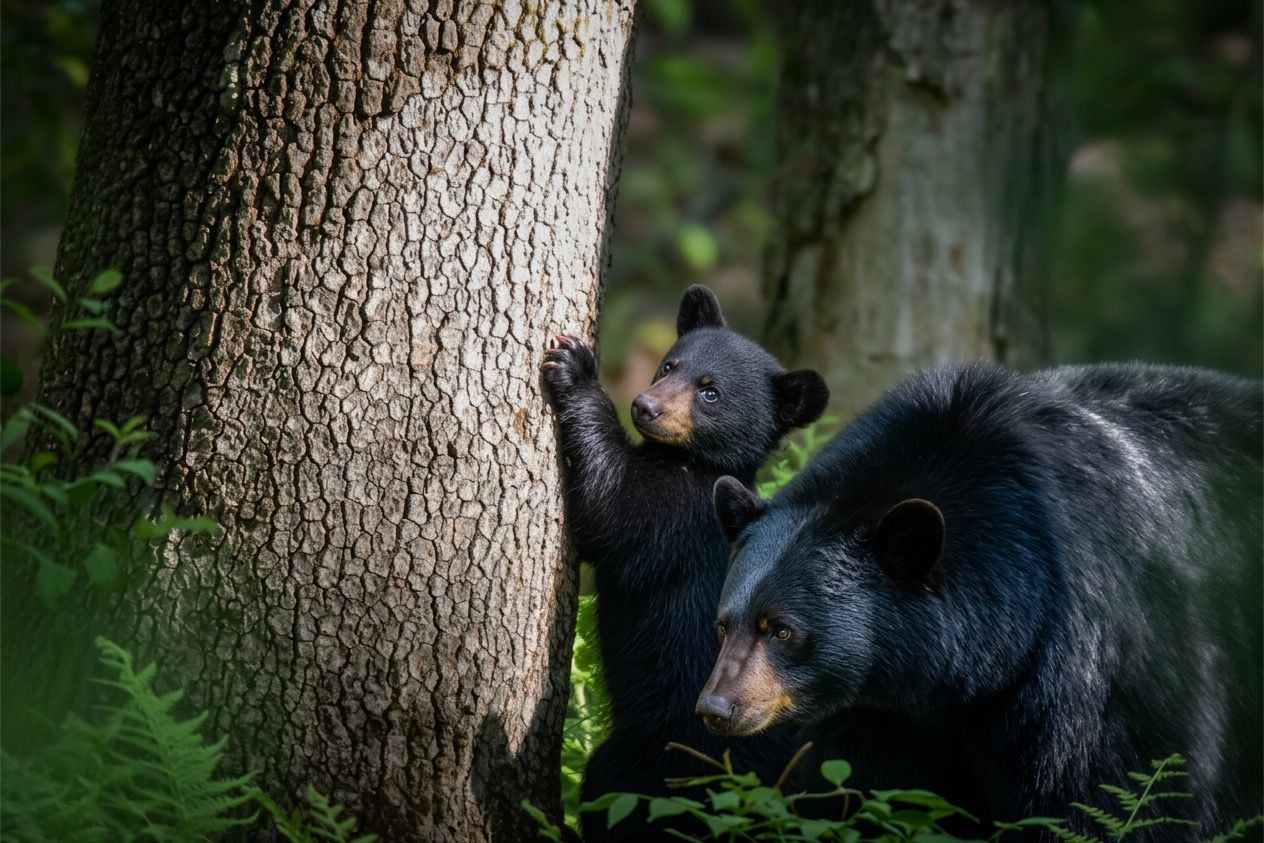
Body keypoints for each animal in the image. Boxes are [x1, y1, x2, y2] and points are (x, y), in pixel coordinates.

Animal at [540, 285, 829, 841]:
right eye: (669, 365)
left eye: (710, 392)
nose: (644, 405)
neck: (694, 465)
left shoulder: (677, 518)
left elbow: (609, 508)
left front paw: (575, 370)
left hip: (650, 756)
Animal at [698, 362, 1262, 839]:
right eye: (725, 624)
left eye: (782, 629)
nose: (716, 707)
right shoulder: (878, 714)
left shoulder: (1101, 668)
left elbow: (1109, 796)